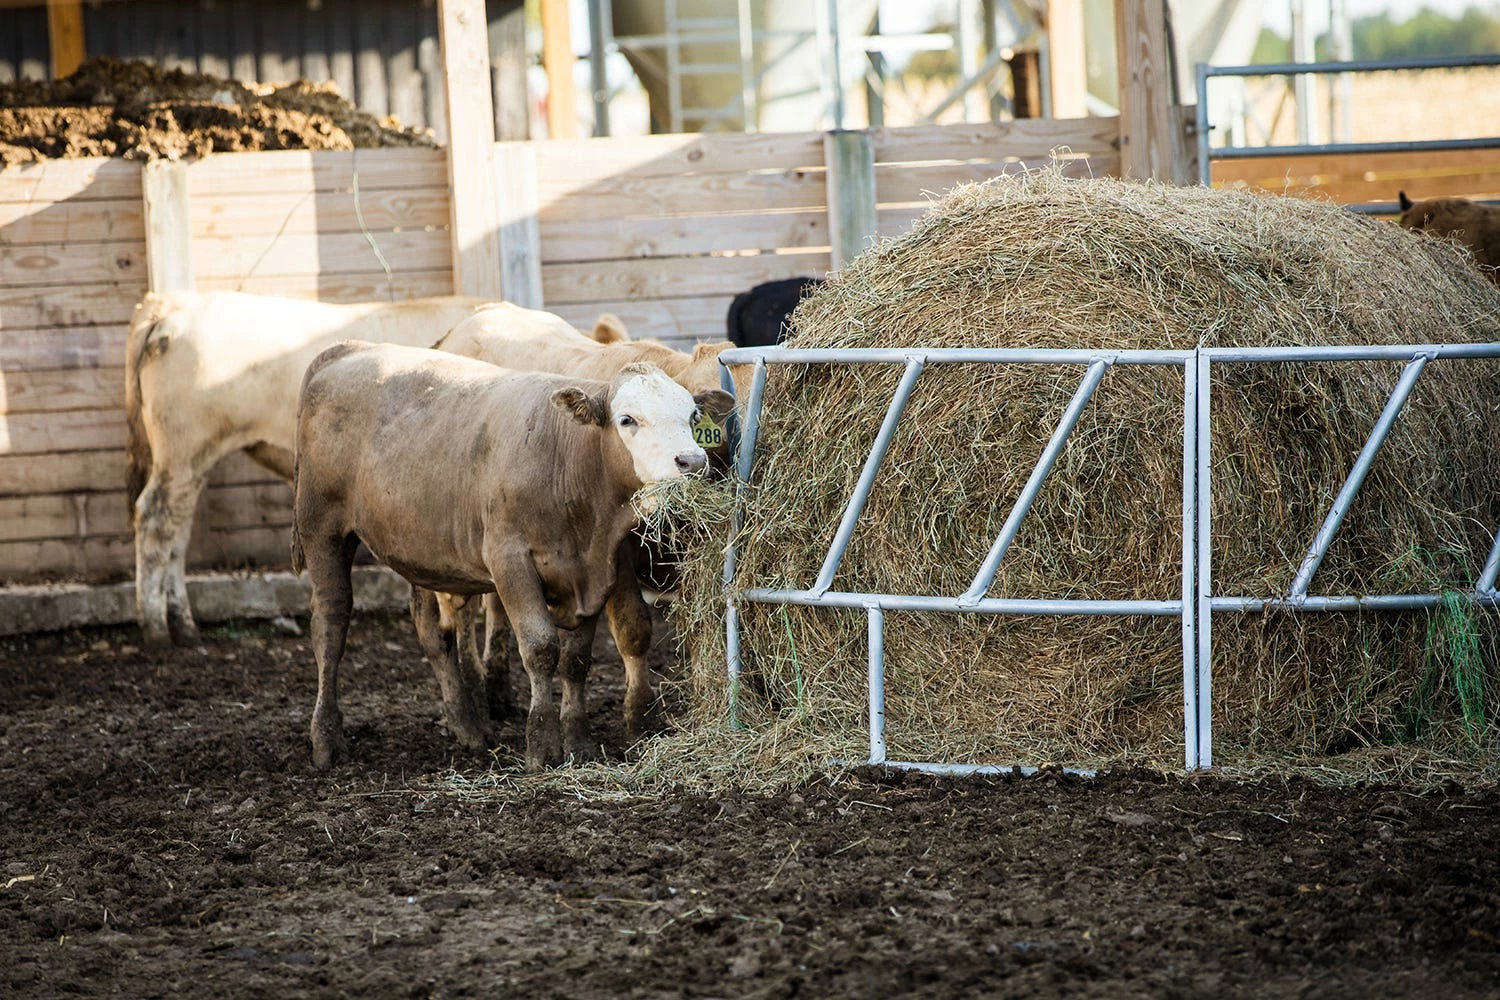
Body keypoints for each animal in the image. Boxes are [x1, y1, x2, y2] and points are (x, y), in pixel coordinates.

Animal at [124, 291, 624, 648]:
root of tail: (170, 305)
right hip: (184, 450)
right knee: (155, 520)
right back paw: (156, 628)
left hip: (188, 460)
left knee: (177, 531)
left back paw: (183, 622)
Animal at [291, 342, 732, 771]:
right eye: (627, 420)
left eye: (692, 415)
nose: (692, 462)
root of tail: (348, 349)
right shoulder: (510, 561)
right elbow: (540, 650)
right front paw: (542, 745)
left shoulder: (595, 572)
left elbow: (576, 660)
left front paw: (579, 742)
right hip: (322, 530)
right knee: (330, 624)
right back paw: (326, 739)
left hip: (418, 548)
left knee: (433, 633)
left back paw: (466, 725)